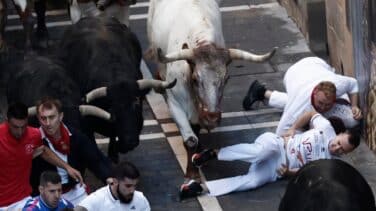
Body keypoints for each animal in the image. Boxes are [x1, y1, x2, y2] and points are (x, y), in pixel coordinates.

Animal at [147, 0, 276, 179]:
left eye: (226, 79)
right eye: (195, 79)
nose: (212, 118)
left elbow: (195, 130)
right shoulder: (175, 102)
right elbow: (191, 140)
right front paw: (192, 173)